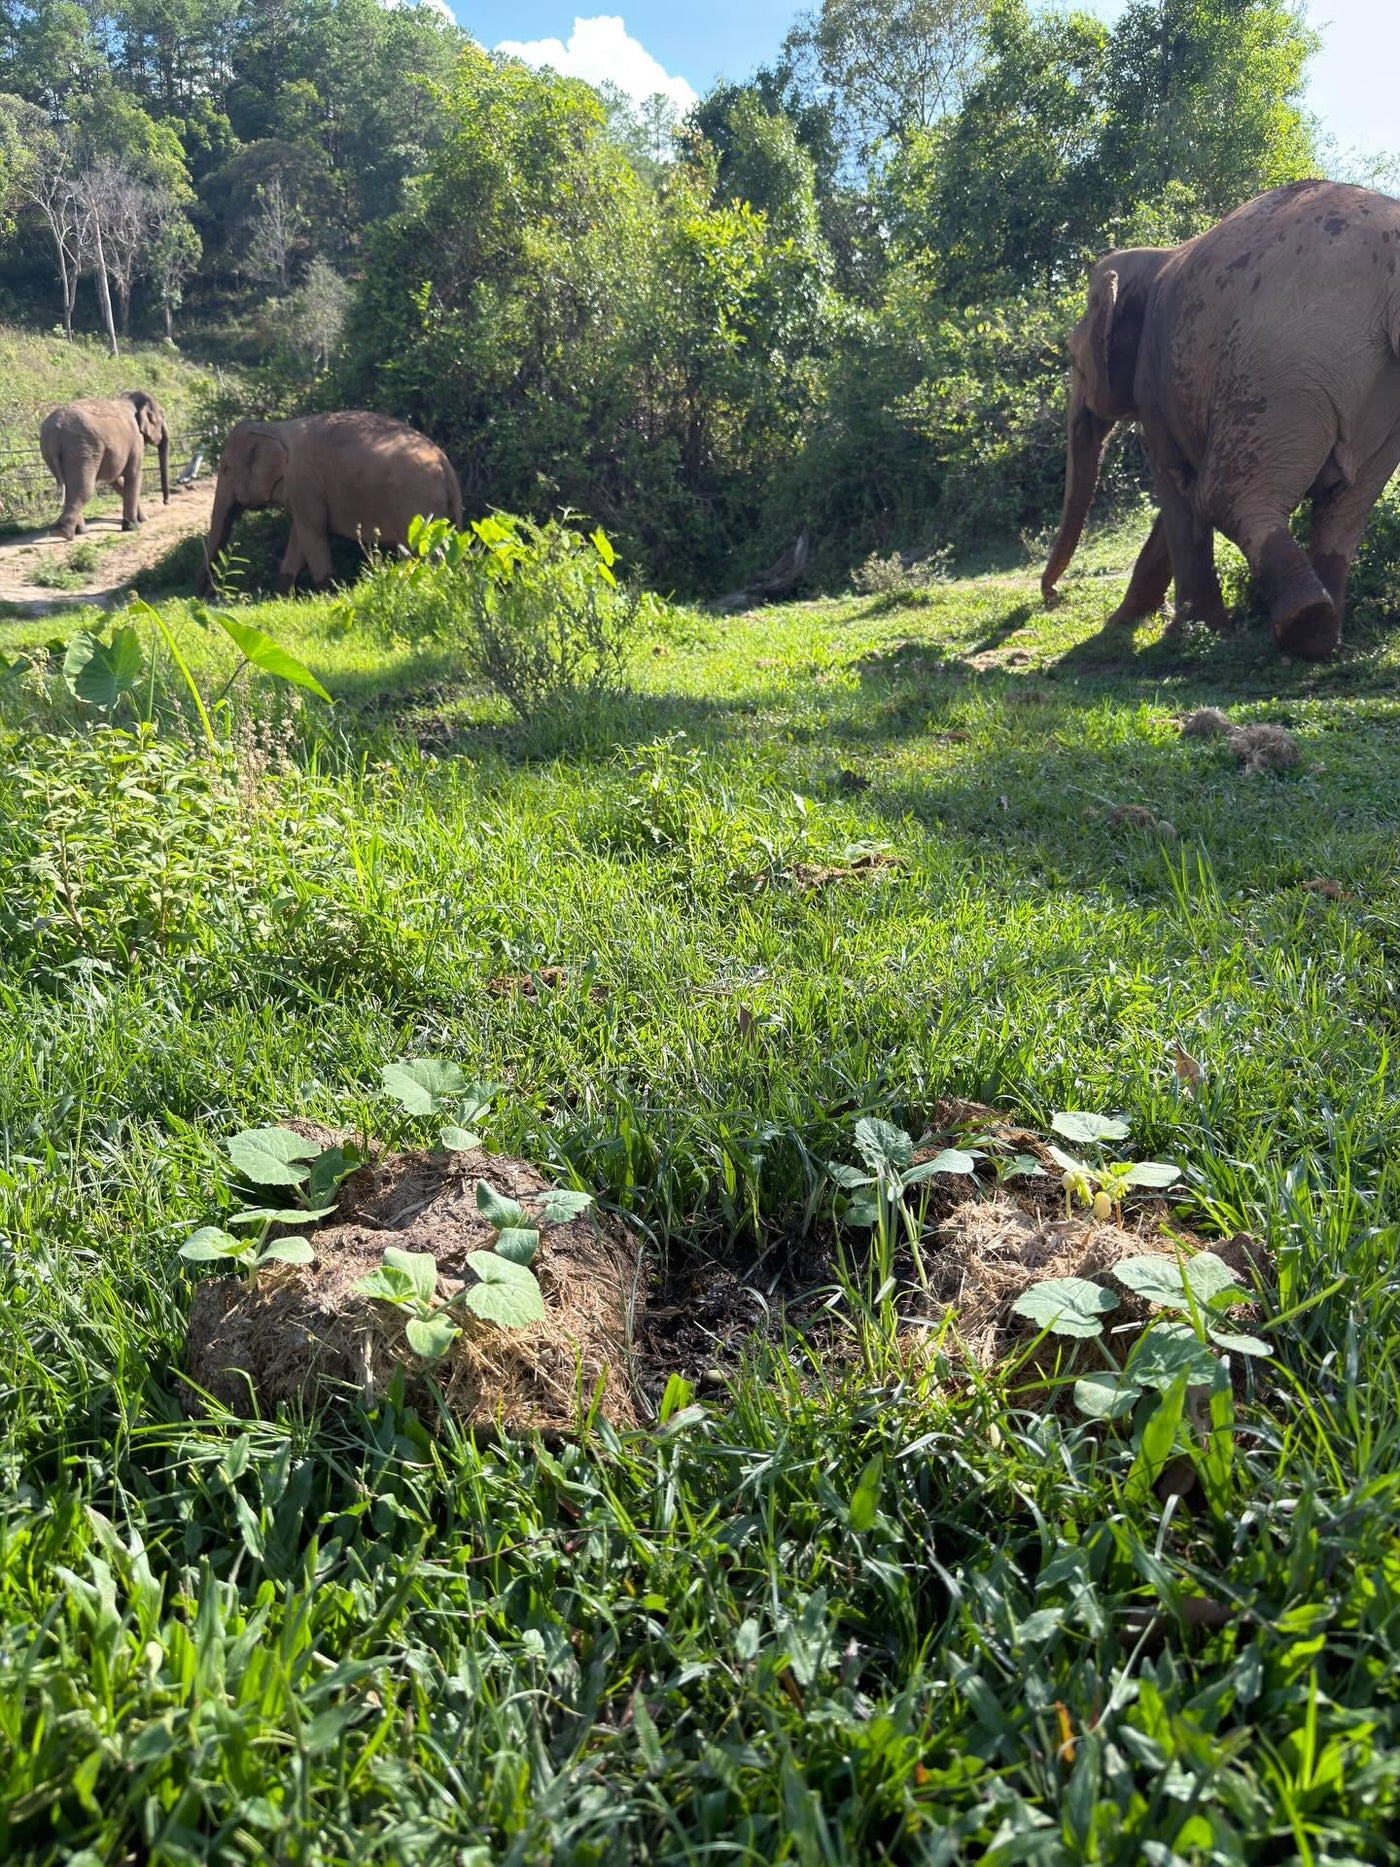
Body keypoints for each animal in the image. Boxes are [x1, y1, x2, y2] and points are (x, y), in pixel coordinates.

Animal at [40, 391, 170, 541]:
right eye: (162, 415)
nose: (166, 502)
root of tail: (55, 431)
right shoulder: (136, 441)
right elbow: (134, 475)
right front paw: (134, 527)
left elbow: (117, 481)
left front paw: (143, 519)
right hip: (82, 449)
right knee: (84, 489)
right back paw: (65, 533)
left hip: (54, 452)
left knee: (69, 487)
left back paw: (80, 531)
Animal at [199, 410, 463, 595]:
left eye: (226, 469)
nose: (208, 595)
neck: (275, 427)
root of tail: (445, 463)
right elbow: (298, 538)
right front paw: (281, 595)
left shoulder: (304, 482)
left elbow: (312, 534)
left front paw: (327, 594)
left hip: (417, 504)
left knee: (428, 549)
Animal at [1041, 180, 1400, 660]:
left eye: (1073, 359)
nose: (1052, 596)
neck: (1153, 257)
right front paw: (1127, 624)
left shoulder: (1154, 378)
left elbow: (1177, 487)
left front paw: (1187, 635)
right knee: (1343, 509)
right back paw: (1326, 635)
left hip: (1282, 365)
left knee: (1224, 495)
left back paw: (1303, 626)